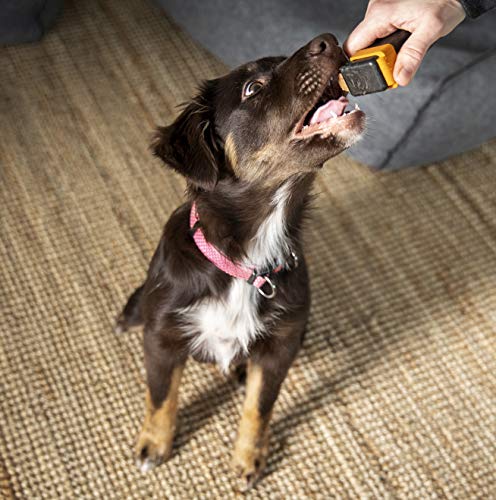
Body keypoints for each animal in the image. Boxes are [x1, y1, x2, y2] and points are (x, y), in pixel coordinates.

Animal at [115, 33, 364, 490]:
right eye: (253, 88)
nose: (329, 40)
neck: (247, 262)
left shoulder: (282, 344)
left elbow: (258, 407)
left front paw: (249, 458)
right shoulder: (162, 338)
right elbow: (160, 395)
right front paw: (154, 443)